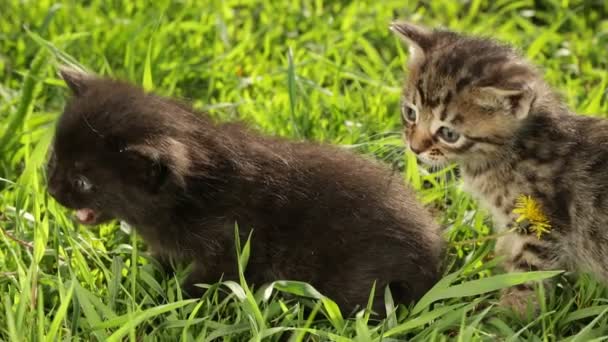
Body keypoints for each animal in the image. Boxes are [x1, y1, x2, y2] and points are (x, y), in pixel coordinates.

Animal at [46, 67, 442, 316]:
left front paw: (164, 307)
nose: (52, 191)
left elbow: (201, 284)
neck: (193, 193)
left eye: (83, 182)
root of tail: (436, 253)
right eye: (53, 160)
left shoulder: (229, 250)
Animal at [392, 22, 608, 314]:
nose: (414, 148)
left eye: (449, 134)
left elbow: (528, 273)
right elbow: (506, 250)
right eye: (410, 113)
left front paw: (509, 314)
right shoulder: (513, 222)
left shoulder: (544, 223)